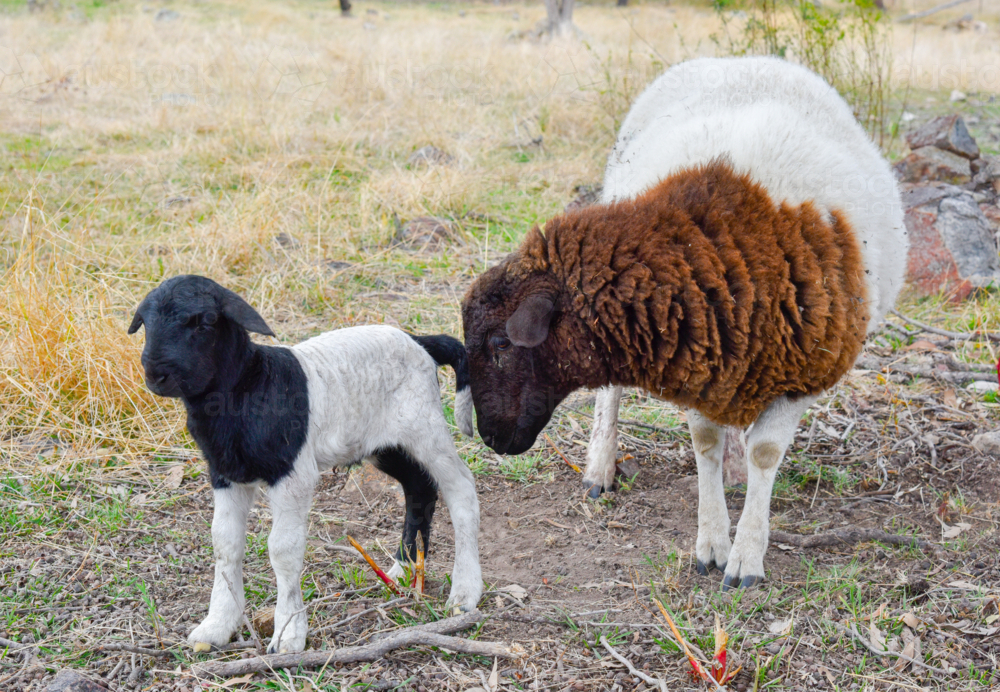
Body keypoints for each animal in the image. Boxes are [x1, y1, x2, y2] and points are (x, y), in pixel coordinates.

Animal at [128, 274, 481, 653]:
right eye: (145, 322)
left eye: (204, 322)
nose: (155, 374)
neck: (247, 387)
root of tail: (419, 342)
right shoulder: (224, 474)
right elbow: (225, 543)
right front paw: (217, 625)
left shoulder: (293, 474)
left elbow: (283, 550)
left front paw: (288, 633)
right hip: (386, 444)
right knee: (419, 488)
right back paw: (403, 569)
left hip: (425, 428)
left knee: (461, 489)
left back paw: (465, 592)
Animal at [461, 56, 906, 590]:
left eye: (500, 346)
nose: (488, 438)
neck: (719, 248)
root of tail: (740, 59)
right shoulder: (693, 354)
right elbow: (704, 441)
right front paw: (712, 542)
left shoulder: (798, 370)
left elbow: (764, 453)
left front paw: (746, 556)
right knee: (612, 394)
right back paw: (600, 467)